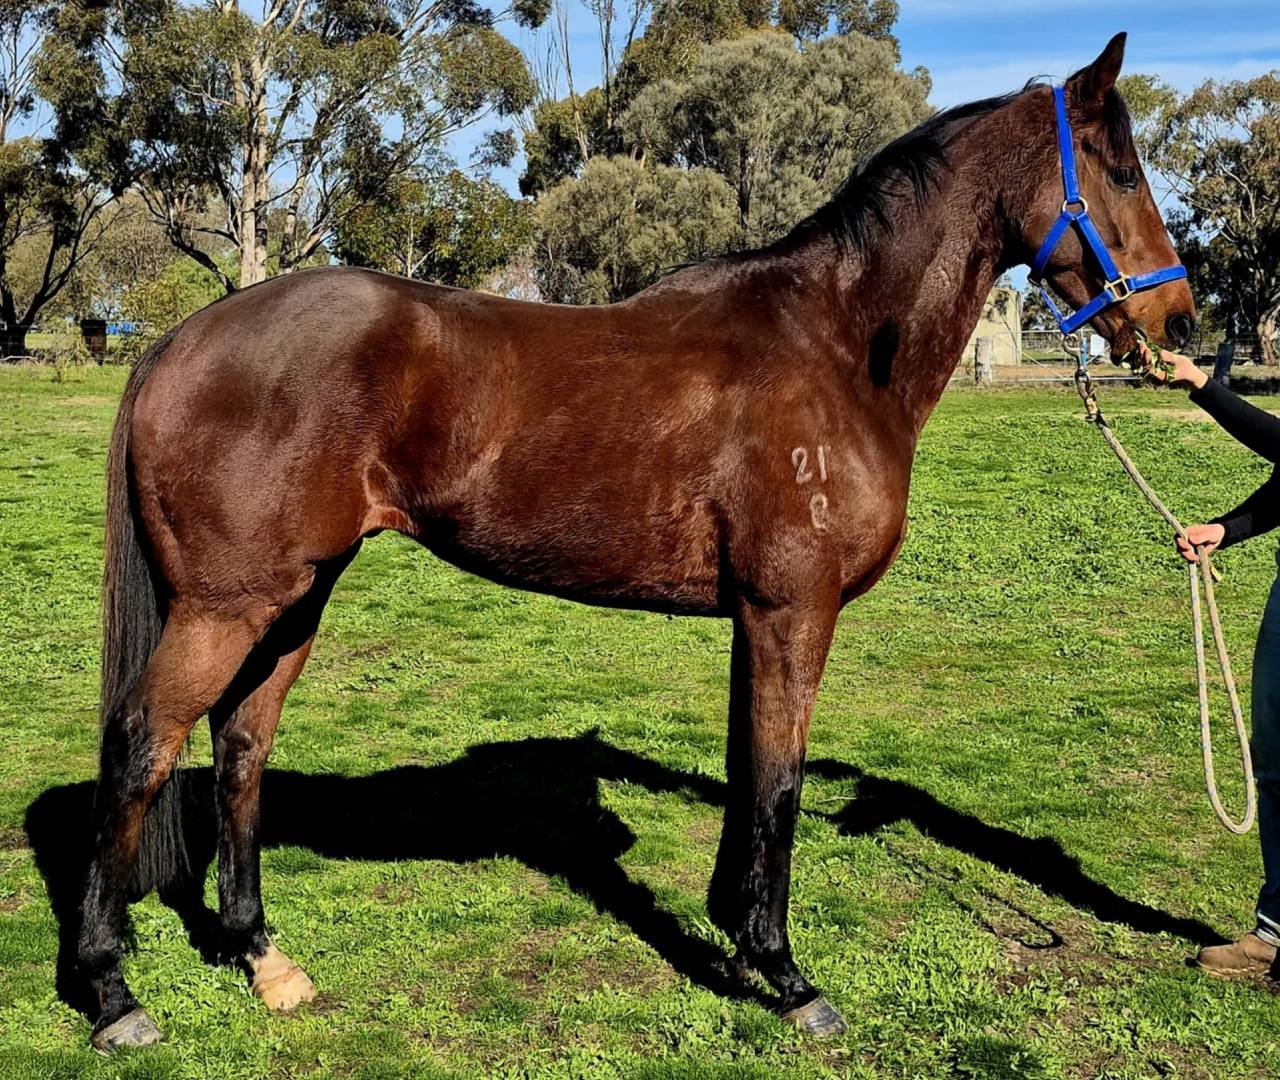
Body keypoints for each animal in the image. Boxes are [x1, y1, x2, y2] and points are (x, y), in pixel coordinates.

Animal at [79, 31, 1195, 1051]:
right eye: (1122, 170)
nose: (1179, 319)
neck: (834, 346)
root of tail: (182, 338)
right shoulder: (794, 611)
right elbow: (781, 783)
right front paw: (787, 976)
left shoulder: (758, 618)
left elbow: (751, 773)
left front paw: (738, 943)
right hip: (228, 606)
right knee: (142, 744)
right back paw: (112, 995)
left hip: (294, 596)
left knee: (240, 747)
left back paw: (263, 957)